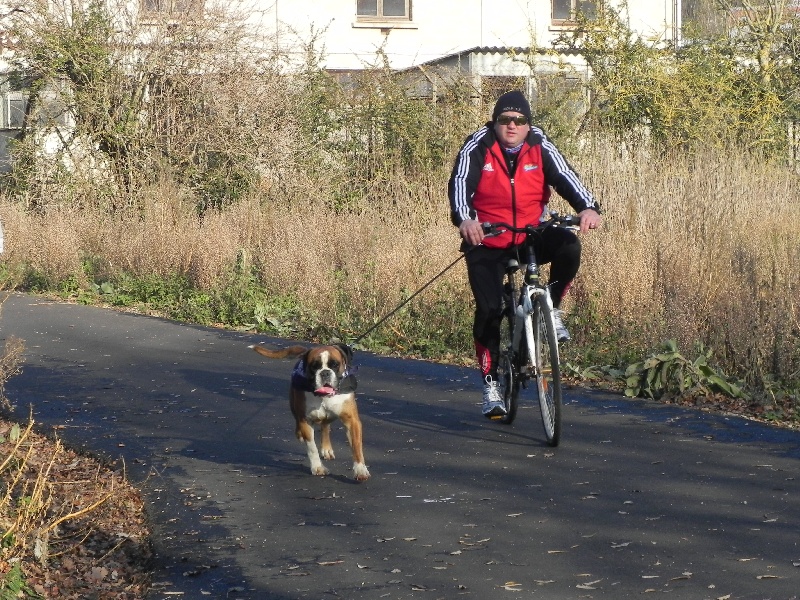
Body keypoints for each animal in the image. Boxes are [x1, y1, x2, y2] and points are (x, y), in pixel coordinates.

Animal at [248, 344, 370, 480]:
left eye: (335, 364)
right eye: (314, 366)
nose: (325, 373)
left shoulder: (352, 421)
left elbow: (356, 446)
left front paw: (360, 469)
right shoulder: (305, 421)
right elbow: (312, 448)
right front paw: (318, 467)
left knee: (325, 426)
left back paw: (326, 449)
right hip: (294, 406)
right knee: (299, 421)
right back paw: (300, 435)